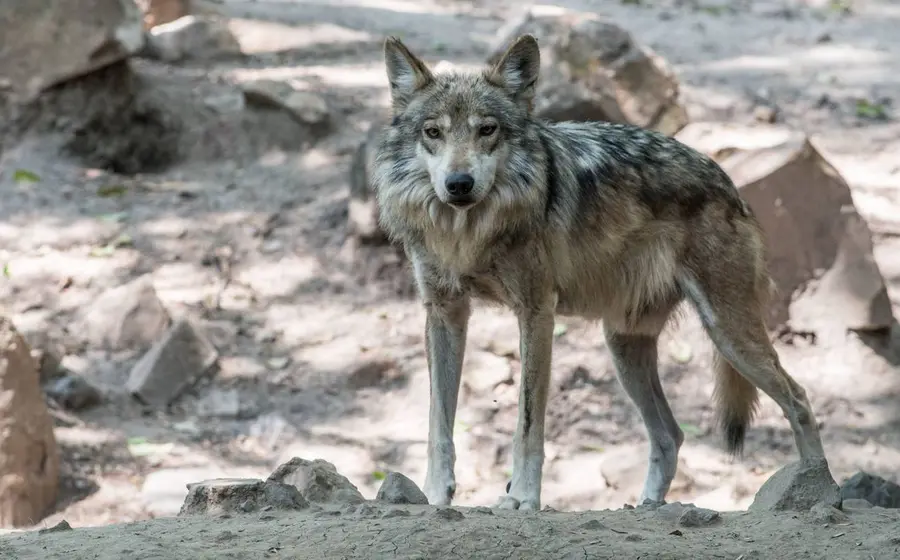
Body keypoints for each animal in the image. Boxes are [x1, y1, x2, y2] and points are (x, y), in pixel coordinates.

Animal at [368, 33, 834, 510]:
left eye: (487, 129)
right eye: (433, 132)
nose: (459, 184)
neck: (467, 234)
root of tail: (729, 183)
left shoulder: (537, 312)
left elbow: (527, 423)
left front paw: (523, 498)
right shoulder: (445, 313)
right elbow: (438, 420)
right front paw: (434, 494)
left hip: (728, 334)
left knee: (799, 400)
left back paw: (819, 489)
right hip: (624, 346)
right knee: (670, 435)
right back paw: (648, 507)